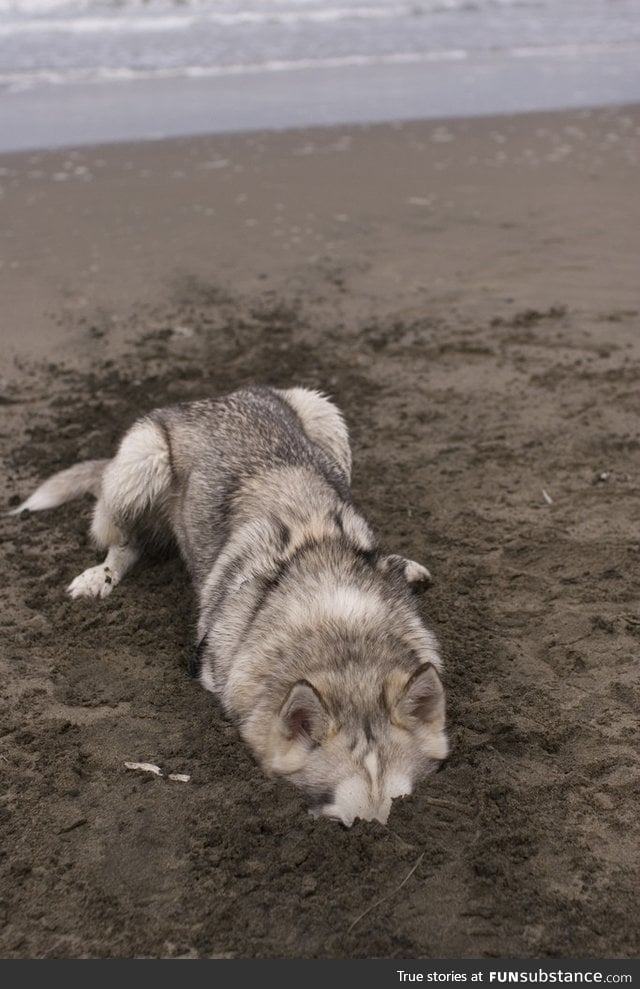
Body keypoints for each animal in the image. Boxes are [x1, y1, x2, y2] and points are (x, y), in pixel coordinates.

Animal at [11, 386, 450, 824]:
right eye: (344, 825)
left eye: (400, 812)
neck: (339, 629)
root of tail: (214, 397)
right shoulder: (209, 669)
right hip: (139, 466)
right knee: (126, 543)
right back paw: (99, 576)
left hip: (323, 417)